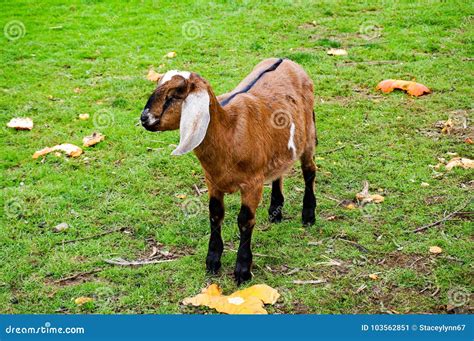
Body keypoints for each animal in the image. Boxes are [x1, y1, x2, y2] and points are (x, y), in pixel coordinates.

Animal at [142, 57, 318, 282]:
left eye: (176, 93)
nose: (144, 118)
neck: (229, 130)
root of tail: (287, 59)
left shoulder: (252, 183)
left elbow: (245, 221)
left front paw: (242, 270)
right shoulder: (212, 181)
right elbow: (215, 215)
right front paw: (212, 262)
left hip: (308, 135)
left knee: (309, 172)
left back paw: (308, 215)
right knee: (279, 171)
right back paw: (275, 212)